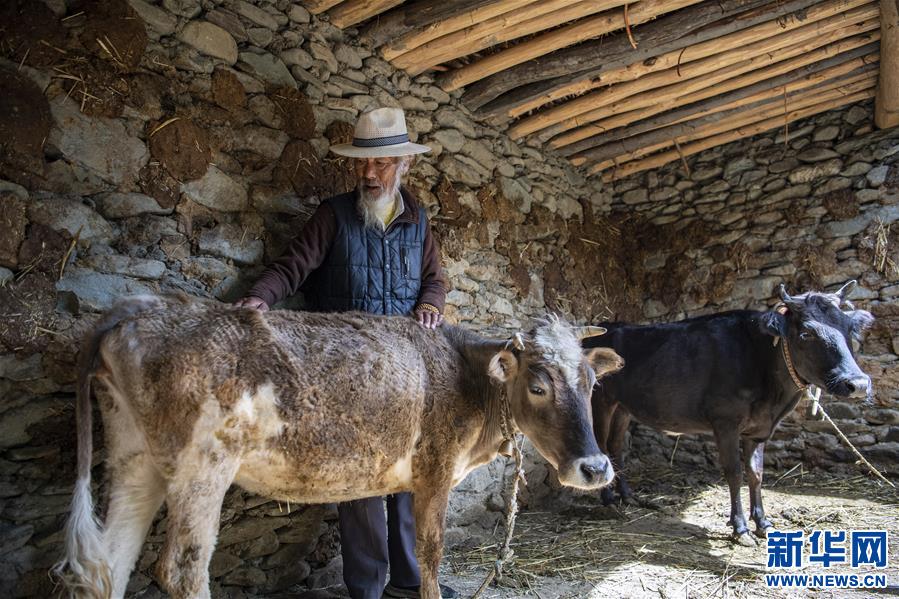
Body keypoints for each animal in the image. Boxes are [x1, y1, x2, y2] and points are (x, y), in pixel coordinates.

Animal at [52, 296, 624, 599]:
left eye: (592, 382)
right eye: (538, 386)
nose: (596, 468)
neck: (465, 371)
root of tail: (136, 308)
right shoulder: (436, 468)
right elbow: (431, 550)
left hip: (135, 458)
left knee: (111, 562)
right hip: (202, 467)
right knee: (180, 569)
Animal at [588, 282, 876, 544]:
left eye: (850, 329)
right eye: (806, 333)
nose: (858, 384)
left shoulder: (759, 429)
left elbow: (756, 474)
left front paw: (763, 523)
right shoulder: (725, 422)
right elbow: (735, 473)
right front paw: (741, 528)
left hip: (623, 407)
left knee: (616, 445)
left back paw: (628, 496)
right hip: (600, 401)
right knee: (601, 444)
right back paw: (608, 499)